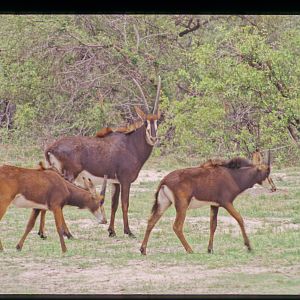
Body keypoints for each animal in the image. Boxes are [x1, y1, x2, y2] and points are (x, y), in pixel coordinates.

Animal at [42, 76, 162, 238]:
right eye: (145, 122)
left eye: (157, 121)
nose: (153, 138)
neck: (131, 144)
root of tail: (52, 147)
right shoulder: (125, 180)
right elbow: (125, 204)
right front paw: (128, 231)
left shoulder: (115, 182)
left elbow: (114, 205)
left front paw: (111, 231)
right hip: (69, 175)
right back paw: (67, 233)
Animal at [141, 152, 272, 255]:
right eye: (267, 172)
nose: (273, 188)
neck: (232, 175)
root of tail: (164, 180)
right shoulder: (226, 202)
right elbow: (239, 218)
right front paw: (249, 246)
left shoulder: (214, 205)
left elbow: (213, 225)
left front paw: (210, 249)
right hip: (182, 206)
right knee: (177, 226)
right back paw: (190, 250)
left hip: (164, 204)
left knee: (151, 221)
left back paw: (143, 250)